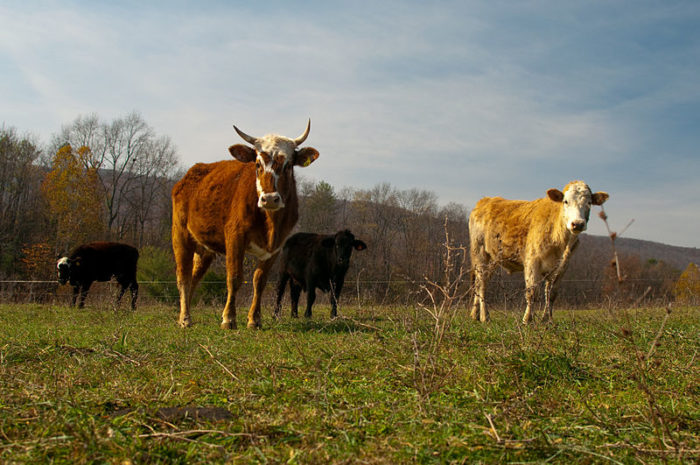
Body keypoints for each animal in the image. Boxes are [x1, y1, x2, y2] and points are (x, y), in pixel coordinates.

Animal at [172, 121, 320, 328]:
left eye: (288, 164)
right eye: (257, 164)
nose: (270, 198)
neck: (270, 223)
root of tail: (191, 173)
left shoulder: (275, 248)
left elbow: (260, 281)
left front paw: (254, 319)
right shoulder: (235, 237)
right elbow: (234, 278)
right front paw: (229, 318)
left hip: (204, 249)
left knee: (194, 277)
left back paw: (183, 314)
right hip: (180, 236)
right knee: (183, 277)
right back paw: (185, 318)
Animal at [468, 179, 608, 324]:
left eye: (589, 202)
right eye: (565, 201)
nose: (578, 224)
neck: (561, 243)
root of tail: (485, 200)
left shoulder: (562, 267)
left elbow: (551, 294)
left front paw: (547, 320)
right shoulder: (532, 262)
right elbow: (532, 292)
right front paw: (527, 320)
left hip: (493, 259)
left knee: (479, 282)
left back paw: (474, 314)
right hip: (480, 253)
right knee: (482, 283)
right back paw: (484, 316)